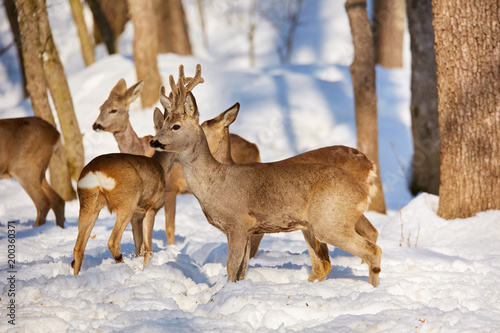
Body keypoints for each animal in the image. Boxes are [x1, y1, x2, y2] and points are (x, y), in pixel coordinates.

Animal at [92, 72, 262, 246]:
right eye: (100, 108)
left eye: (114, 110)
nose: (96, 125)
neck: (140, 149)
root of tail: (255, 147)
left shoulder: (171, 188)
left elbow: (169, 227)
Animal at [150, 64, 380, 286]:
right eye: (163, 124)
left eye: (176, 126)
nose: (153, 141)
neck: (215, 182)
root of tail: (362, 192)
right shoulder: (248, 230)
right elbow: (241, 271)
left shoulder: (238, 223)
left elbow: (231, 268)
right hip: (318, 225)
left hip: (330, 221)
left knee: (372, 250)